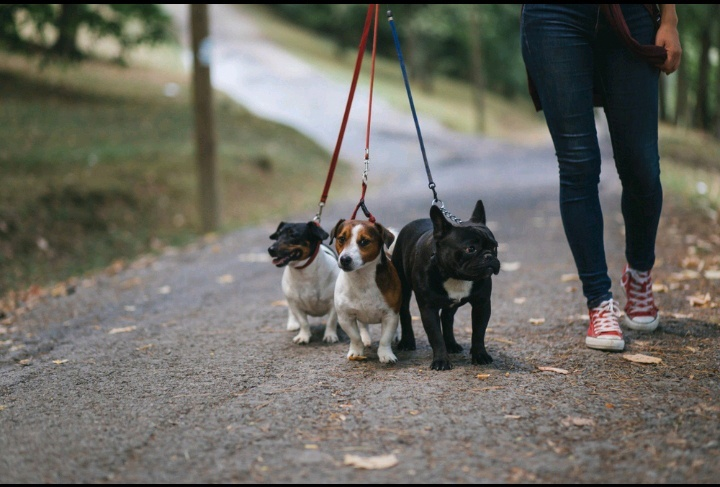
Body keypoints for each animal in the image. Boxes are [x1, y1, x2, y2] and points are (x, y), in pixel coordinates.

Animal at [334, 219, 404, 364]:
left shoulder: (390, 315)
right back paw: (365, 339)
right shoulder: (345, 317)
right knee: (363, 325)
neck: (361, 278)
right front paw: (356, 351)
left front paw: (386, 354)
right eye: (341, 239)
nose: (344, 259)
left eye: (364, 241)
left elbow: (385, 338)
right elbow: (355, 337)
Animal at [388, 200, 500, 372]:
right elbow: (435, 336)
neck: (455, 276)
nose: (489, 256)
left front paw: (480, 355)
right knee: (405, 312)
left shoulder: (482, 304)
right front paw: (441, 361)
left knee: (447, 318)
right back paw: (407, 342)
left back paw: (452, 344)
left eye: (495, 247)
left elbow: (479, 332)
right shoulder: (428, 308)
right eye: (470, 249)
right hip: (403, 286)